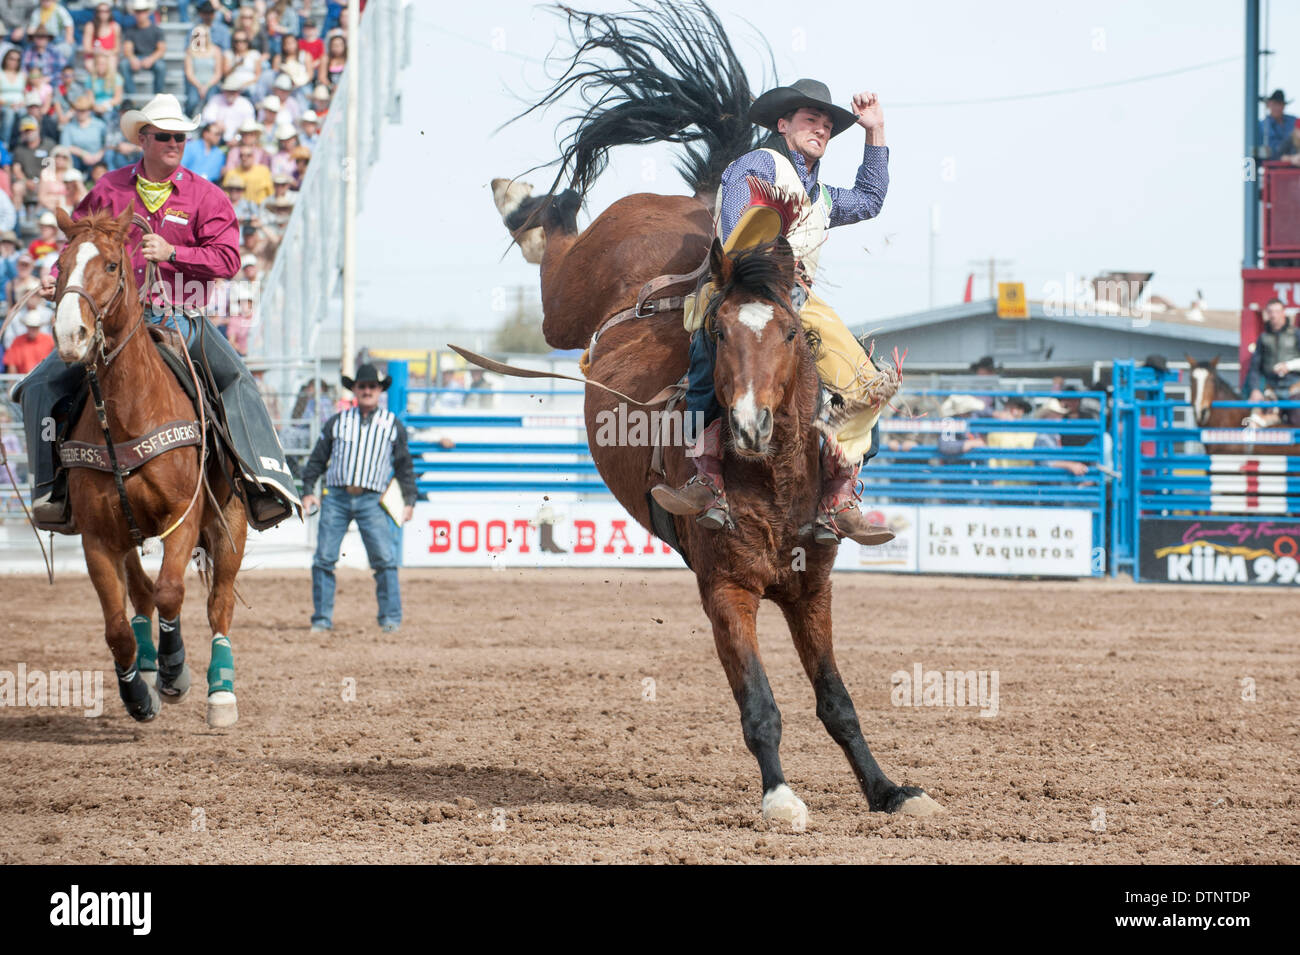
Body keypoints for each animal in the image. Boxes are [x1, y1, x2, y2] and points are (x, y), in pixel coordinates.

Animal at [491, 0, 941, 821]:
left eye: (792, 333)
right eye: (720, 333)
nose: (753, 424)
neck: (774, 480)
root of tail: (695, 201)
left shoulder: (811, 586)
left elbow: (838, 702)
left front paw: (890, 790)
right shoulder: (725, 591)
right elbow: (760, 703)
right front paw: (781, 798)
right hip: (570, 300)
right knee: (555, 254)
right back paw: (517, 198)